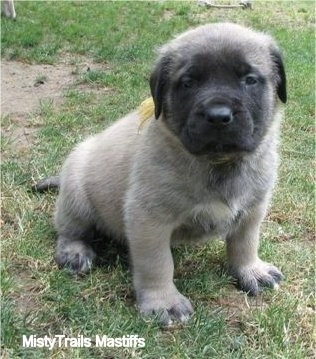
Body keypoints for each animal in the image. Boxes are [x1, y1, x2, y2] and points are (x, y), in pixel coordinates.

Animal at [39, 22, 286, 326]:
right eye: (188, 83)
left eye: (250, 80)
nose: (218, 116)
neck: (217, 163)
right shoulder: (149, 221)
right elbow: (157, 264)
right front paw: (163, 301)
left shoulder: (253, 209)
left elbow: (245, 243)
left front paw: (251, 270)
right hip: (76, 196)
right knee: (69, 229)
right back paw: (74, 251)